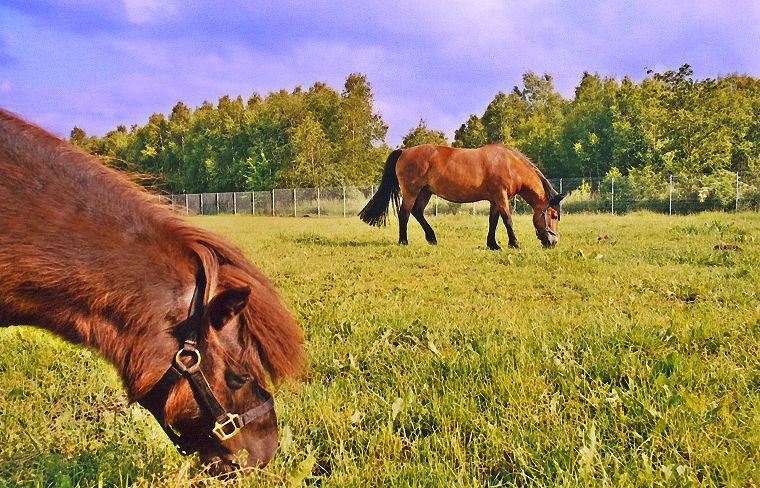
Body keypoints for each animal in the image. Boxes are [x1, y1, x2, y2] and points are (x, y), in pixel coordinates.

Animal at [360, 142, 564, 248]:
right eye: (553, 215)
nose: (553, 241)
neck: (509, 165)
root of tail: (404, 151)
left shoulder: (494, 199)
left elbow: (493, 221)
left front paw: (492, 244)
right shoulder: (501, 196)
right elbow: (507, 219)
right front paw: (514, 243)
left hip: (425, 192)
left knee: (417, 212)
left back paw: (432, 238)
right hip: (412, 190)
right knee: (405, 214)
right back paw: (404, 241)